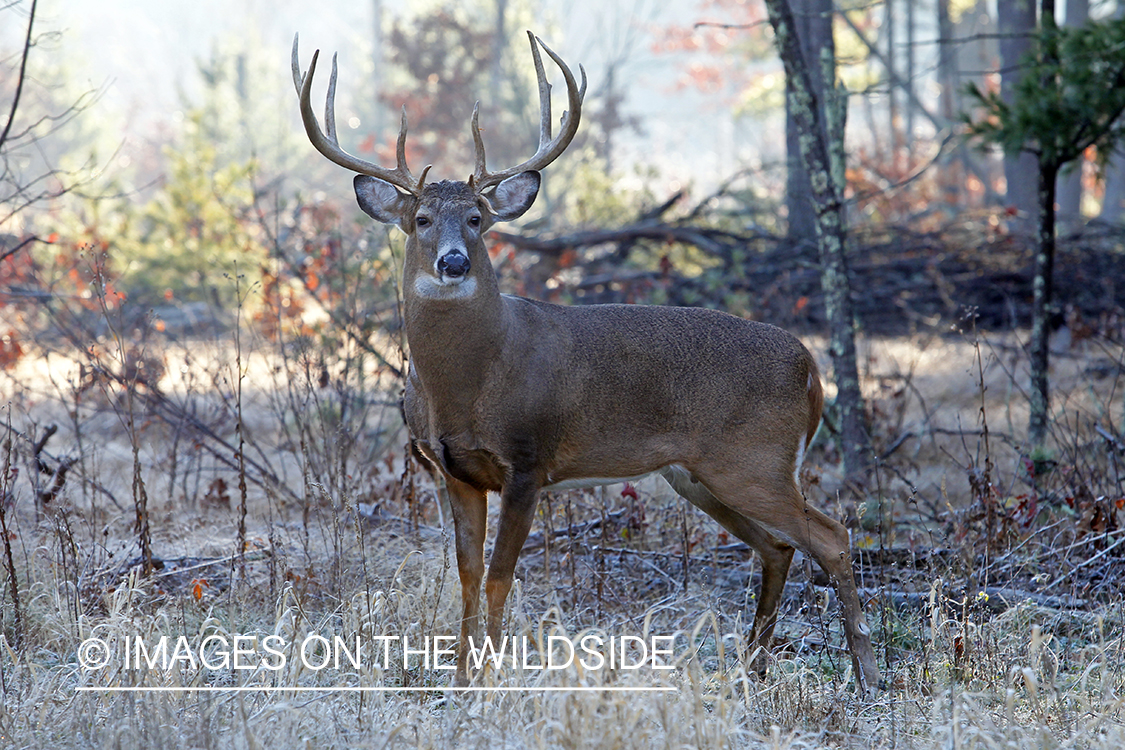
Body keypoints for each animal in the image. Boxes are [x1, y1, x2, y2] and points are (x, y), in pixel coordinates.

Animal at [288, 32, 877, 697]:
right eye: (420, 220)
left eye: (477, 219)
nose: (453, 262)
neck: (467, 383)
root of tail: (812, 370)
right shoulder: (454, 471)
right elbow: (466, 577)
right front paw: (461, 680)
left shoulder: (528, 460)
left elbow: (500, 576)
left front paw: (493, 678)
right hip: (698, 472)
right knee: (778, 546)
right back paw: (752, 666)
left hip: (754, 458)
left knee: (832, 536)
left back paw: (867, 674)